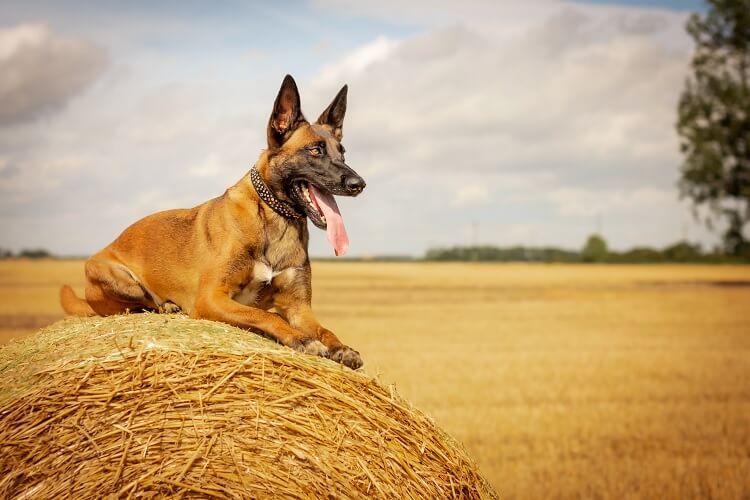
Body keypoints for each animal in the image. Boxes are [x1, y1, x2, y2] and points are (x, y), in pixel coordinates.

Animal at [60, 76, 366, 370]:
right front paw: (302, 340)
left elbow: (325, 330)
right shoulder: (211, 298)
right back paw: (167, 306)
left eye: (343, 153)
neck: (275, 219)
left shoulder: (299, 308)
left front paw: (342, 348)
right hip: (122, 282)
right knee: (144, 303)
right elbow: (264, 314)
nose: (359, 184)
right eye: (315, 151)